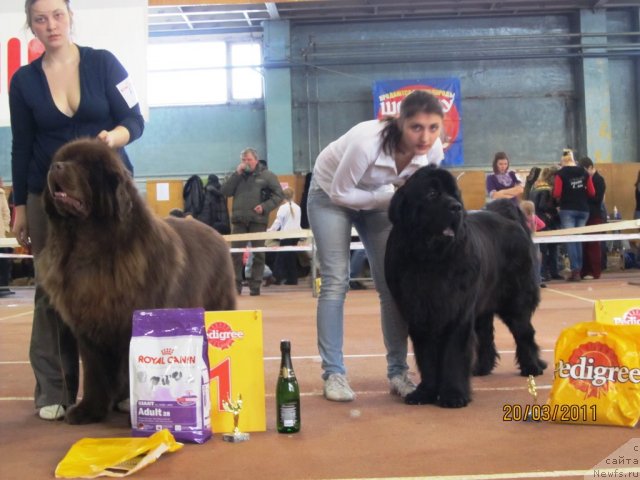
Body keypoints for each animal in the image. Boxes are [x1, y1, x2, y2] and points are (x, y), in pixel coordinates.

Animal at [384, 166, 544, 408]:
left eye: (454, 194)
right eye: (432, 194)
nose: (456, 207)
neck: (429, 259)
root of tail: (508, 217)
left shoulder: (457, 310)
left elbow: (453, 353)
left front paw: (453, 395)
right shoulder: (419, 314)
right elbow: (426, 356)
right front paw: (425, 393)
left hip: (515, 300)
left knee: (524, 331)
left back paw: (532, 366)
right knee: (486, 335)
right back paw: (482, 368)